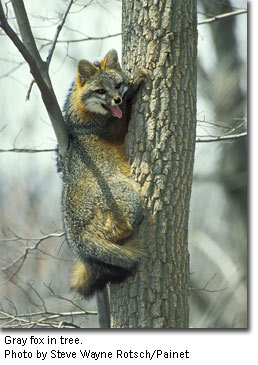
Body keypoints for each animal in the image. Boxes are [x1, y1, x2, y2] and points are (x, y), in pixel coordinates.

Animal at [57, 49, 146, 298]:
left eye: (117, 85)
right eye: (101, 91)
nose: (117, 99)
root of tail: (77, 238)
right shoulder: (115, 129)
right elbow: (125, 113)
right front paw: (135, 87)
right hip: (128, 195)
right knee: (126, 229)